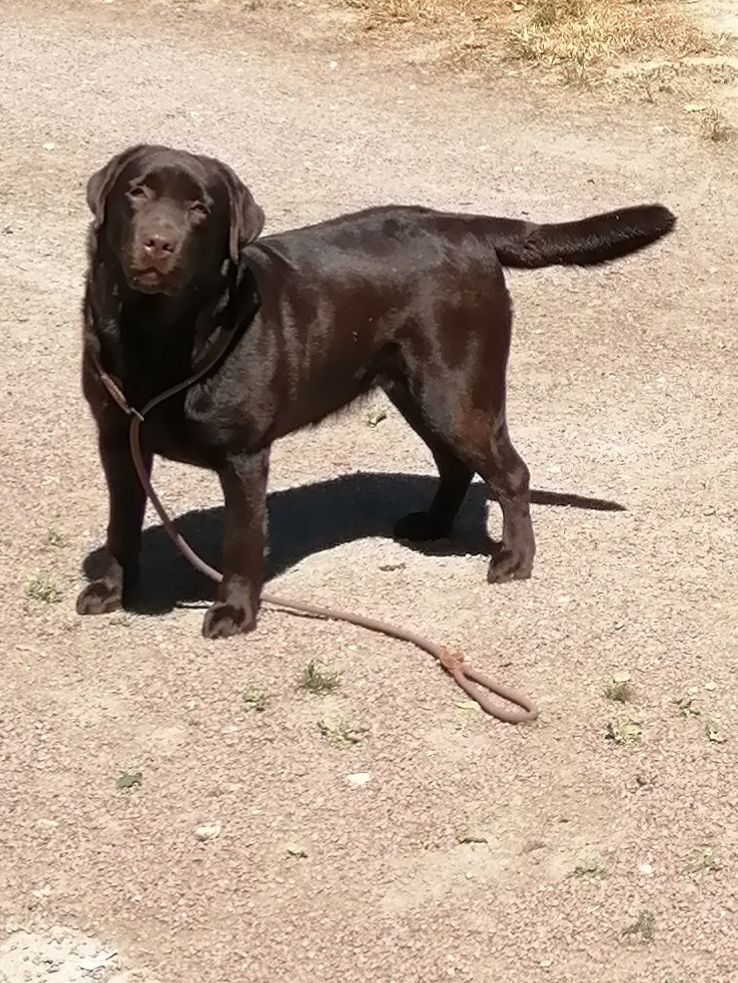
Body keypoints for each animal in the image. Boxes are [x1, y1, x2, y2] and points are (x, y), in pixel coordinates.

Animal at [77, 144, 676, 640]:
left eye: (201, 209)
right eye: (137, 192)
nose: (159, 242)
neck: (161, 339)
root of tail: (465, 227)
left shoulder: (244, 457)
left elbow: (241, 541)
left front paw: (234, 611)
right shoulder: (117, 441)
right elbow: (121, 524)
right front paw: (111, 588)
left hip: (456, 393)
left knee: (510, 473)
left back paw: (514, 560)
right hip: (416, 391)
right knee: (456, 465)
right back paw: (433, 526)